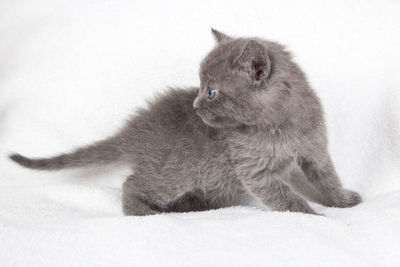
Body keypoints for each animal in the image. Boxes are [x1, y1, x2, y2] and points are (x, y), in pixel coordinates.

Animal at [9, 29, 360, 217]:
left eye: (212, 91)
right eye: (200, 87)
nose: (195, 105)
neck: (279, 126)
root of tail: (134, 131)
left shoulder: (314, 151)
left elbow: (327, 179)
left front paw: (341, 201)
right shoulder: (255, 172)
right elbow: (286, 198)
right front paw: (314, 215)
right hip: (172, 175)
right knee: (131, 183)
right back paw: (141, 212)